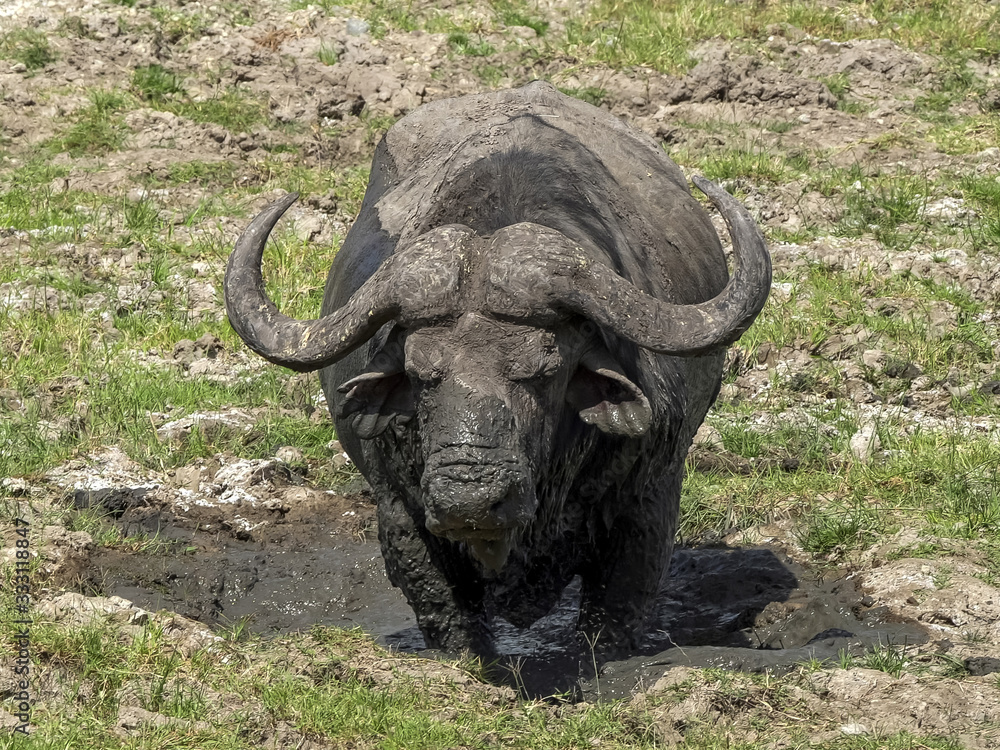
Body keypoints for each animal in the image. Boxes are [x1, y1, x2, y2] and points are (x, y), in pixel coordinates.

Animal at [224, 81, 771, 657]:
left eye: (545, 370)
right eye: (420, 372)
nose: (470, 498)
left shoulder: (647, 504)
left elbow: (612, 619)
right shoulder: (400, 516)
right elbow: (448, 615)